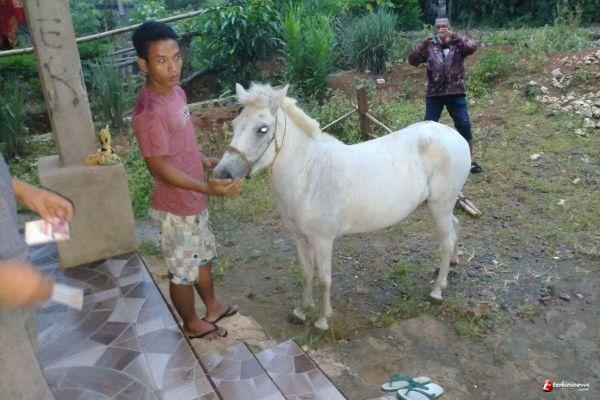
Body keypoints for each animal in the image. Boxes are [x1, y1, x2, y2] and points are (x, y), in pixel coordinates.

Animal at [213, 83, 471, 330]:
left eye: (263, 129)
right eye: (235, 124)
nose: (222, 173)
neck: (309, 173)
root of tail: (453, 134)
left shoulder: (322, 241)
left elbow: (324, 279)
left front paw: (322, 320)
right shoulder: (300, 237)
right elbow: (306, 273)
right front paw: (301, 311)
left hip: (440, 205)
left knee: (447, 240)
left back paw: (437, 291)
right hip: (442, 205)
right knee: (455, 227)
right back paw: (451, 265)